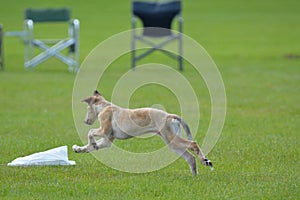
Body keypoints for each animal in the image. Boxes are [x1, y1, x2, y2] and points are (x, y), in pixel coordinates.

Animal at [72, 90, 213, 174]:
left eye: (87, 108)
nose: (86, 121)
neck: (105, 107)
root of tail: (168, 115)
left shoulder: (103, 131)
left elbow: (90, 132)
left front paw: (92, 143)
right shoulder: (108, 140)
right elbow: (90, 145)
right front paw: (79, 148)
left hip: (171, 138)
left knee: (193, 144)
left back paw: (205, 161)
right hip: (172, 143)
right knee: (190, 158)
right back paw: (194, 176)